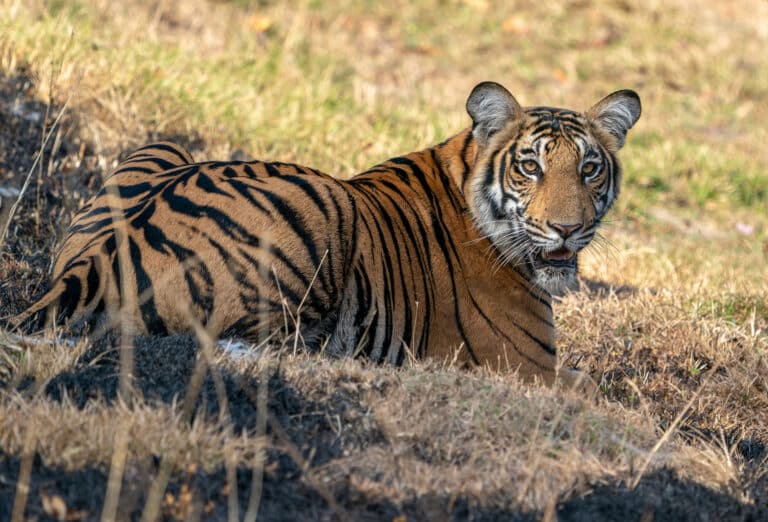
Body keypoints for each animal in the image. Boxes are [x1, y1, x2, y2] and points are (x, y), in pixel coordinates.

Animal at [11, 81, 640, 389]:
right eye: (530, 167)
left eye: (589, 168)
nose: (568, 228)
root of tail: (90, 263)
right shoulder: (527, 367)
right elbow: (593, 388)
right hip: (328, 202)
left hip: (165, 146)